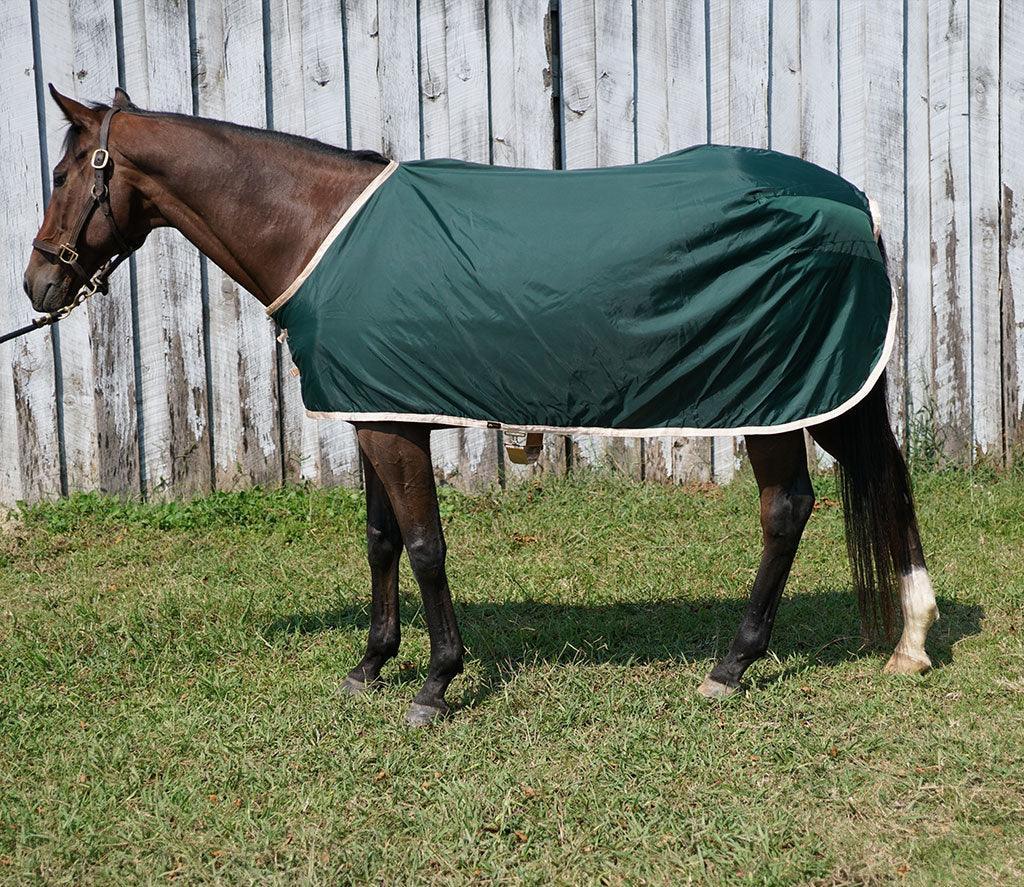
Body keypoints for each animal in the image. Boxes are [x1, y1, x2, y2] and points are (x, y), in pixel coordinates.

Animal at [22, 87, 938, 727]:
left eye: (64, 174)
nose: (37, 286)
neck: (319, 230)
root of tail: (856, 202)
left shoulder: (394, 425)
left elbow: (426, 544)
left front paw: (434, 683)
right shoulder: (376, 412)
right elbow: (382, 539)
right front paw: (370, 664)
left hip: (777, 398)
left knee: (787, 510)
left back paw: (733, 666)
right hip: (824, 392)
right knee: (885, 481)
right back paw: (911, 640)